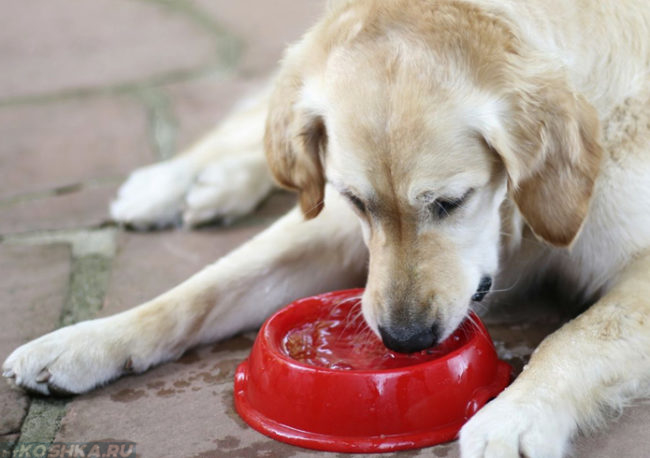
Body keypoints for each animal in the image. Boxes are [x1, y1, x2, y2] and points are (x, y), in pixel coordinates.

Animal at [2, 0, 644, 456]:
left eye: (451, 202)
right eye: (358, 201)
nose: (404, 341)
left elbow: (577, 337)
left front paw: (513, 417)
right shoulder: (331, 220)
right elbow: (199, 290)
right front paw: (83, 342)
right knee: (262, 123)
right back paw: (172, 182)